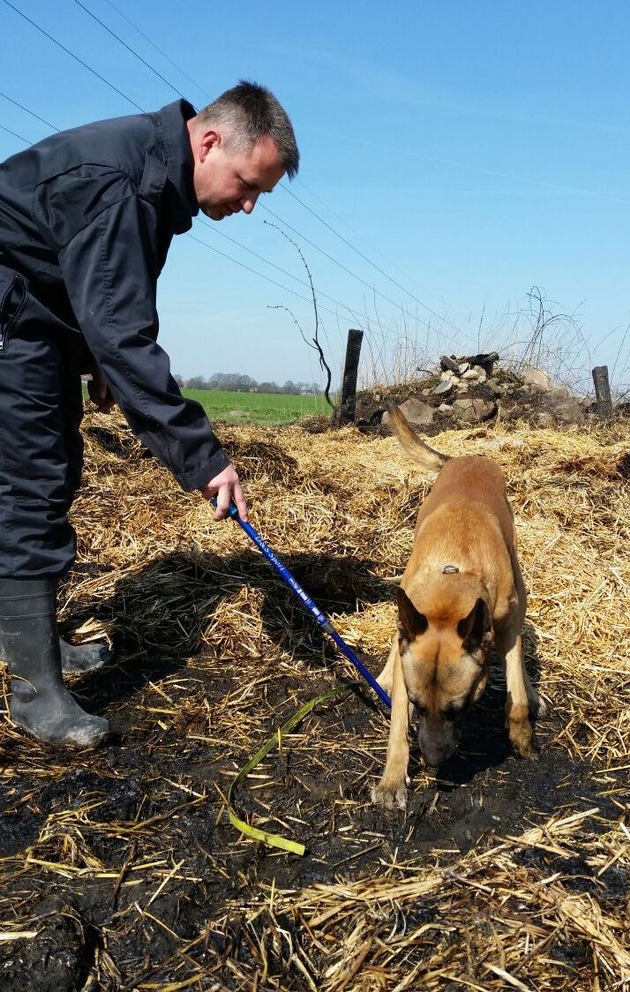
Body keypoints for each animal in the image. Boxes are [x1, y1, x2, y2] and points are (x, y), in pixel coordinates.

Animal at [372, 406, 544, 808]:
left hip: (519, 585)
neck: (454, 574)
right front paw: (392, 779)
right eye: (418, 705)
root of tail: (466, 457)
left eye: (460, 709)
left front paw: (522, 739)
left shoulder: (505, 626)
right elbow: (398, 722)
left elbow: (515, 694)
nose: (433, 761)